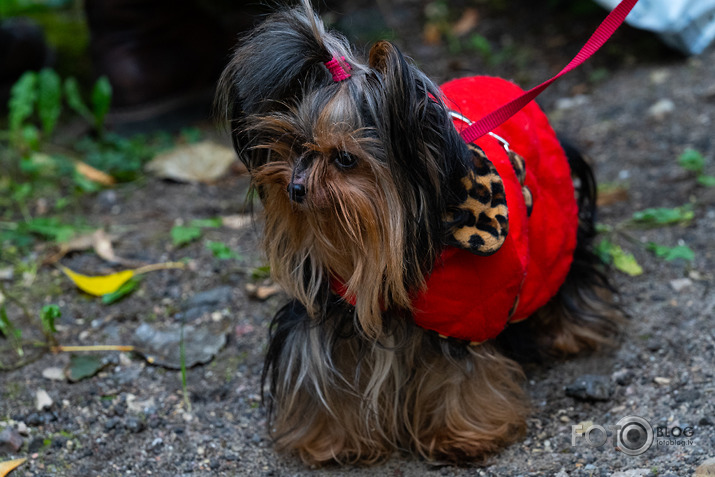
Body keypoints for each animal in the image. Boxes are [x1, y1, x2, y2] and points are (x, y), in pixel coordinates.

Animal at [217, 0, 620, 464]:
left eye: (345, 159)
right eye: (295, 145)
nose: (295, 188)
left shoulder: (466, 316)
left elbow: (458, 371)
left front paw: (465, 433)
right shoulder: (332, 303)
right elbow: (322, 361)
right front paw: (329, 439)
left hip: (556, 229)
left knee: (566, 272)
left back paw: (572, 333)